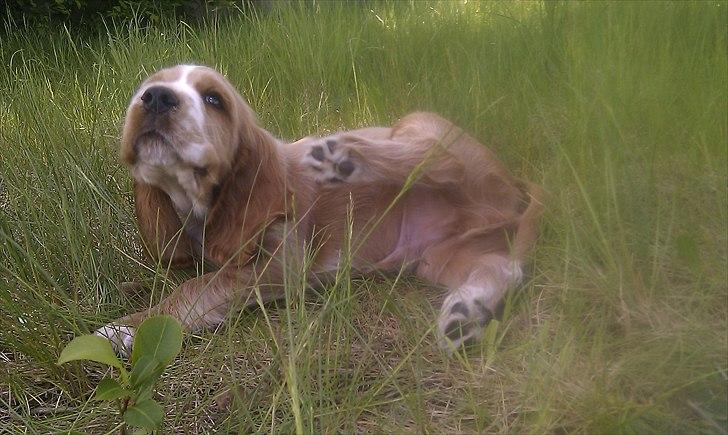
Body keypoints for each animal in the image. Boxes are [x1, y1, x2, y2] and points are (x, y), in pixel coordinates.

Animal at [95, 64, 540, 356]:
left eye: (214, 100)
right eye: (146, 87)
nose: (155, 97)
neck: (199, 202)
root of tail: (510, 185)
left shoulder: (282, 263)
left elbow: (196, 288)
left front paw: (122, 329)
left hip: (423, 129)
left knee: (440, 159)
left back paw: (341, 157)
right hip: (439, 256)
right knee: (503, 268)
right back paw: (466, 314)